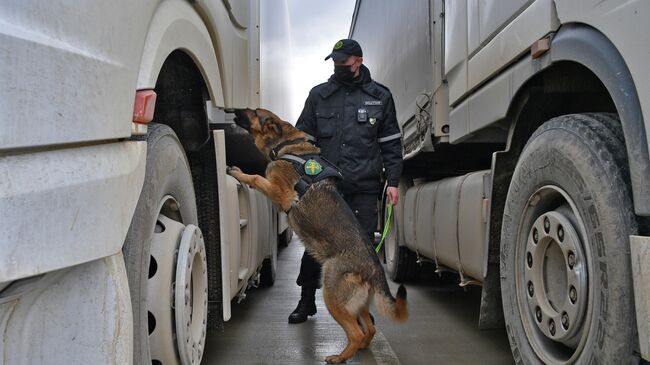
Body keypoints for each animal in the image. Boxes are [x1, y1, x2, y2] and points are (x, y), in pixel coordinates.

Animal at [228, 108, 404, 362]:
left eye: (252, 112)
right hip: (356, 304)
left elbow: (257, 178)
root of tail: (374, 269)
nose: (231, 110)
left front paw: (240, 173)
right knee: (369, 329)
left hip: (332, 296)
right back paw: (360, 348)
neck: (286, 144)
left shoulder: (280, 194)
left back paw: (339, 357)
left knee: (357, 332)